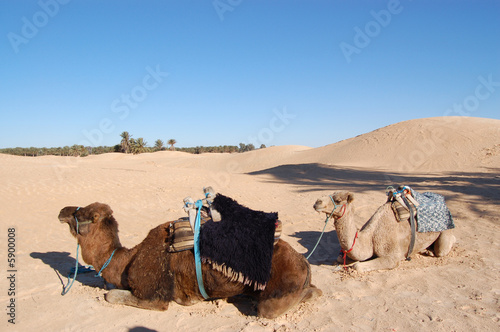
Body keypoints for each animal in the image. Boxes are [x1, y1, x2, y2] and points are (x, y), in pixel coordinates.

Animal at [58, 201, 322, 318]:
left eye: (83, 214)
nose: (62, 210)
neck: (128, 259)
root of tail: (304, 263)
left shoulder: (154, 295)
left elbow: (110, 295)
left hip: (280, 289)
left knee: (274, 306)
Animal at [312, 192, 458, 272]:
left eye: (338, 200)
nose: (317, 202)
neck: (370, 238)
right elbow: (340, 258)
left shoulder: (392, 256)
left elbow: (357, 266)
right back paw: (426, 250)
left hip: (447, 230)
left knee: (443, 248)